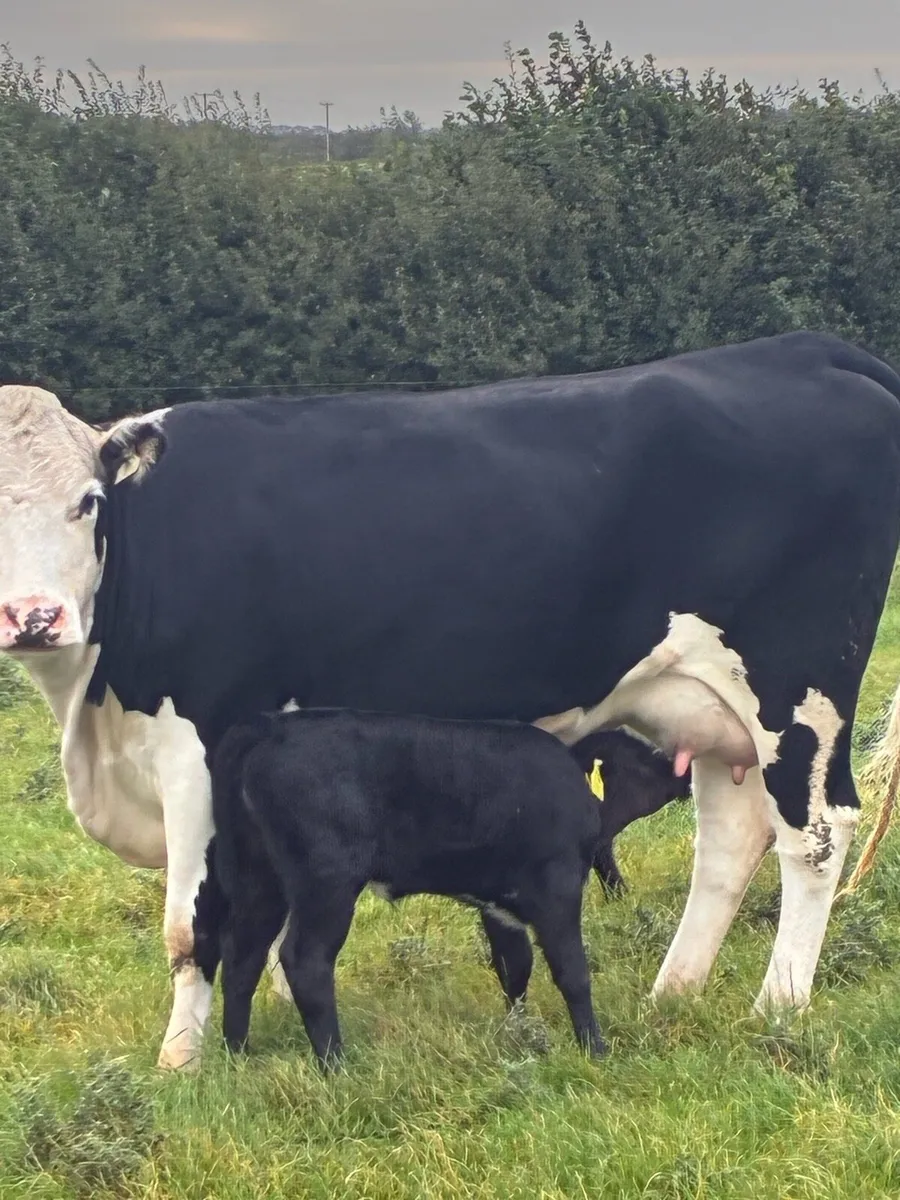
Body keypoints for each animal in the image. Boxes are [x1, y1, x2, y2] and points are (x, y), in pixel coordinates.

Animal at [209, 708, 607, 1067]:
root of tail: (270, 726)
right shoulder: (557, 887)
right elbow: (572, 971)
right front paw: (595, 1050)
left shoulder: (499, 905)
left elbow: (514, 968)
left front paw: (518, 1035)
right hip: (326, 883)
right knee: (305, 960)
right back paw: (335, 1065)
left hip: (258, 881)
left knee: (241, 957)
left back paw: (238, 1055)